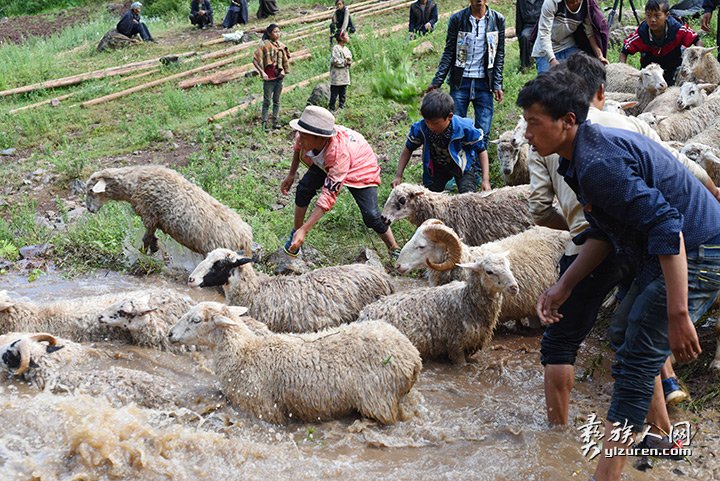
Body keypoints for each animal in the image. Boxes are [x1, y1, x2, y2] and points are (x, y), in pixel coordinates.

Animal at [84, 165, 252, 255]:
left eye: (91, 190)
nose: (89, 209)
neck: (133, 184)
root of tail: (245, 237)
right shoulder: (155, 220)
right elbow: (152, 237)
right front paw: (155, 248)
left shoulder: (149, 214)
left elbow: (146, 238)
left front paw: (142, 254)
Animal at [168, 304, 422, 424]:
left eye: (196, 320)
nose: (170, 334)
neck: (244, 352)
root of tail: (413, 357)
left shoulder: (263, 408)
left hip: (378, 396)